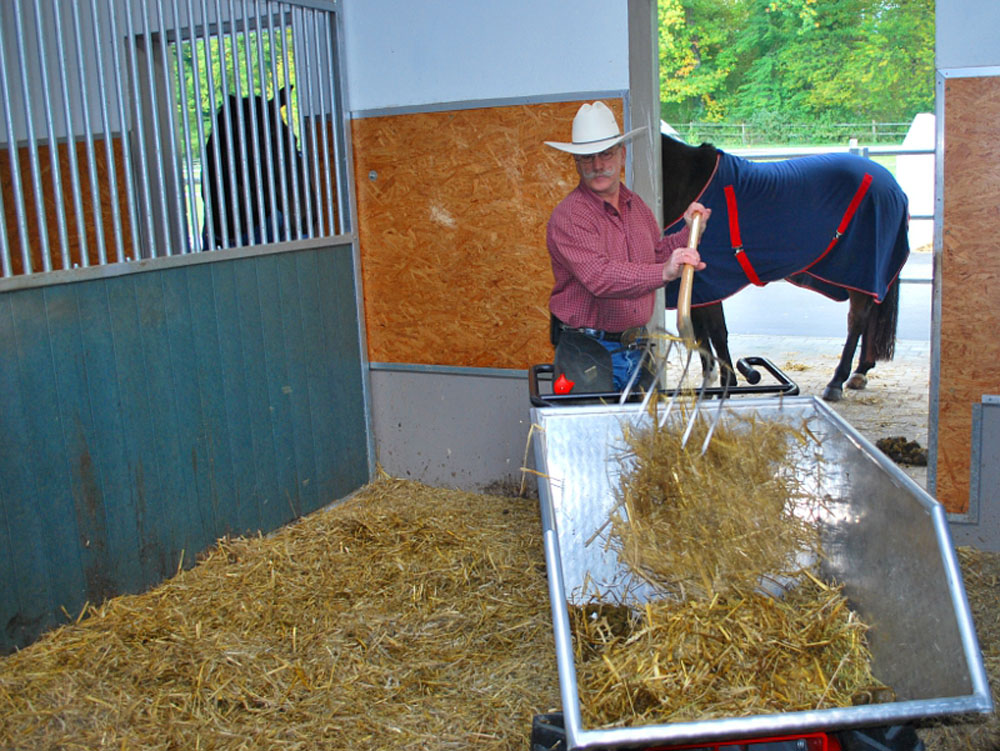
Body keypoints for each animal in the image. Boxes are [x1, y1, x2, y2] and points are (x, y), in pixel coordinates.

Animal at [660, 135, 912, 406]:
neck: (691, 181)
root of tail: (892, 184)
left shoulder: (708, 282)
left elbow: (716, 332)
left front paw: (727, 386)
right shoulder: (697, 287)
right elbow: (700, 334)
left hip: (861, 270)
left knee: (857, 320)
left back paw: (836, 382)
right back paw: (860, 372)